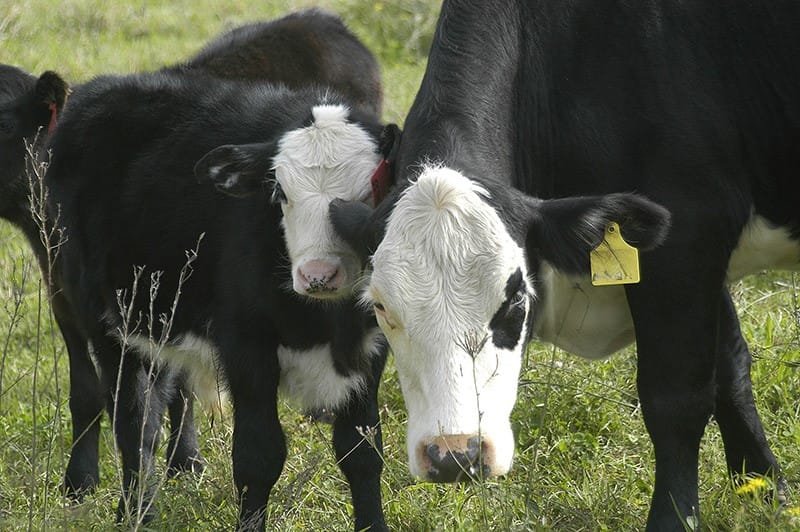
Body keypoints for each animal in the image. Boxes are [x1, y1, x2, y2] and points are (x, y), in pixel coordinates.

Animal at [0, 6, 383, 516]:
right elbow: (97, 394)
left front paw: (183, 465)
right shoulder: (80, 300)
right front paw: (82, 482)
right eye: (279, 191)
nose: (318, 274)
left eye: (4, 128)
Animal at [329, 0, 800, 530]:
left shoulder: (686, 235)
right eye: (381, 307)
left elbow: (678, 398)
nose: (454, 455)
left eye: (515, 301)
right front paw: (768, 491)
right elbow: (732, 368)